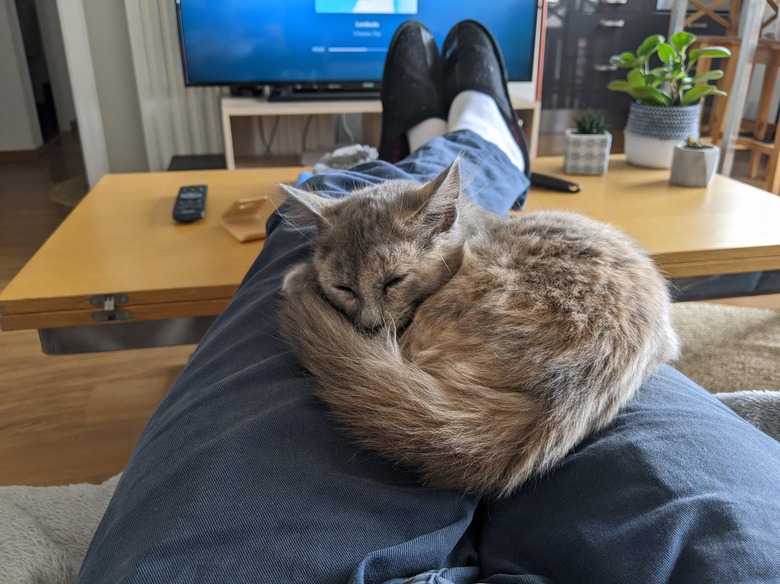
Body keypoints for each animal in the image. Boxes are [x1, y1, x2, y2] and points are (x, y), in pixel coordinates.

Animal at [278, 160, 680, 498]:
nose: (369, 325)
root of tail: (563, 395)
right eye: (344, 288)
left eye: (395, 281)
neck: (476, 225)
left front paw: (298, 277)